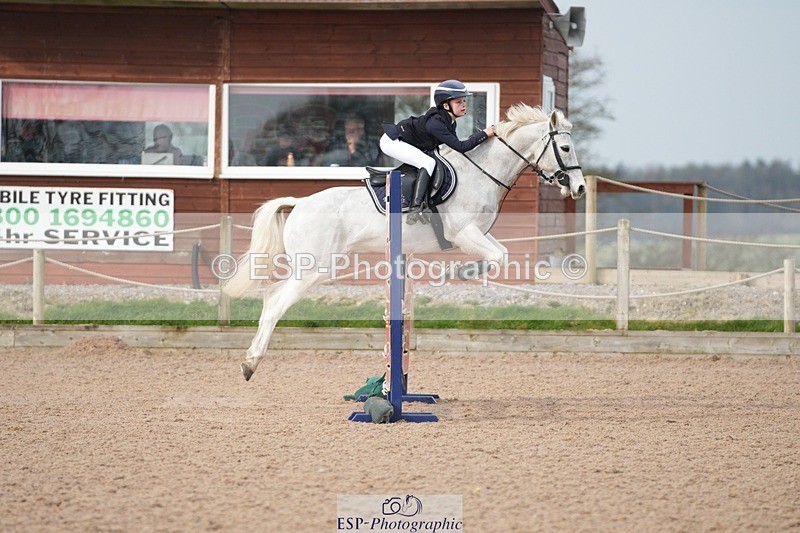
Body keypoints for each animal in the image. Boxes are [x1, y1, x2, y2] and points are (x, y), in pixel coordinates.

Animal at [224, 104, 586, 381]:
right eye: (566, 148)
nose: (580, 188)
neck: (482, 172)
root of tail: (299, 202)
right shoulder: (463, 233)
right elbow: (498, 256)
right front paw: (456, 273)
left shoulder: (479, 233)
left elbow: (502, 254)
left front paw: (462, 273)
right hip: (316, 268)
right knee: (276, 303)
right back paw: (250, 363)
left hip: (311, 267)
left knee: (271, 295)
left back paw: (250, 359)